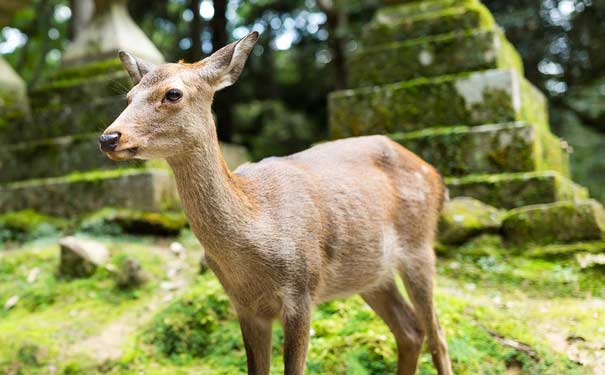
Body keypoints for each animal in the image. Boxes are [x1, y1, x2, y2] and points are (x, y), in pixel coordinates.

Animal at [98, 32, 448, 375]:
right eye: (129, 97)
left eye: (173, 93)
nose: (109, 138)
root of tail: (434, 173)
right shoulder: (244, 304)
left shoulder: (302, 291)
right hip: (371, 274)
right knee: (410, 330)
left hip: (419, 247)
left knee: (437, 336)